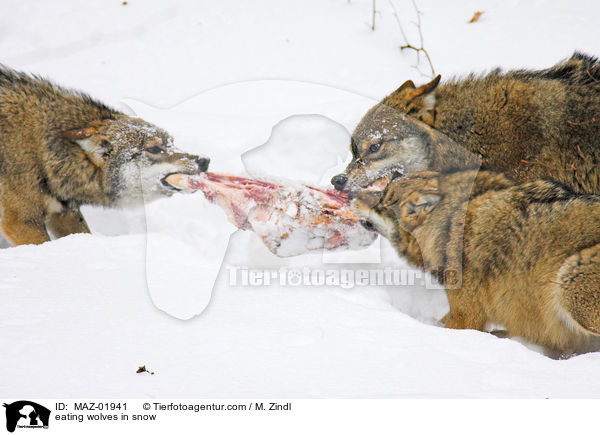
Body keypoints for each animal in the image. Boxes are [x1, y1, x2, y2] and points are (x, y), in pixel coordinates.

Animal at [354, 170, 600, 358]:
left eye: (381, 201)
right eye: (381, 194)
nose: (351, 194)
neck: (449, 224)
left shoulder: (467, 315)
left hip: (569, 283)